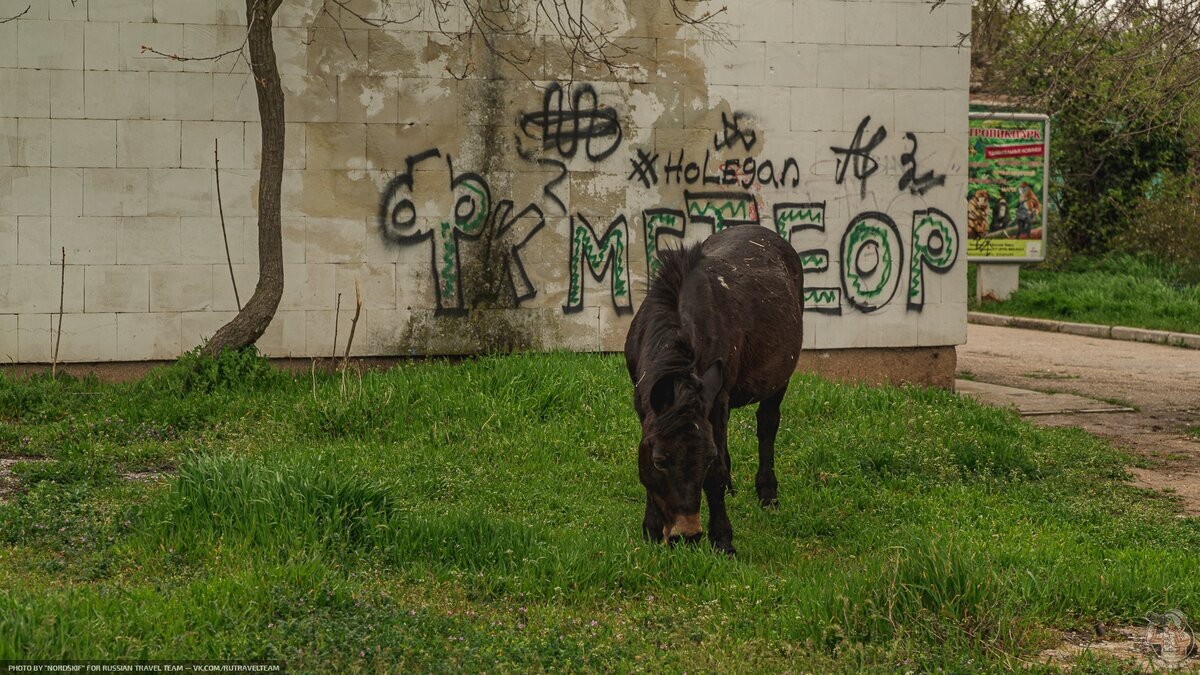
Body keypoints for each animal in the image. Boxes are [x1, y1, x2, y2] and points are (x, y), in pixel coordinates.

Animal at [624, 224, 801, 552]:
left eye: (704, 460)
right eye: (660, 461)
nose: (687, 535)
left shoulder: (717, 399)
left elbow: (717, 472)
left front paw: (722, 539)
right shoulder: (643, 402)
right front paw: (651, 529)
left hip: (779, 377)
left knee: (767, 425)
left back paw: (767, 493)